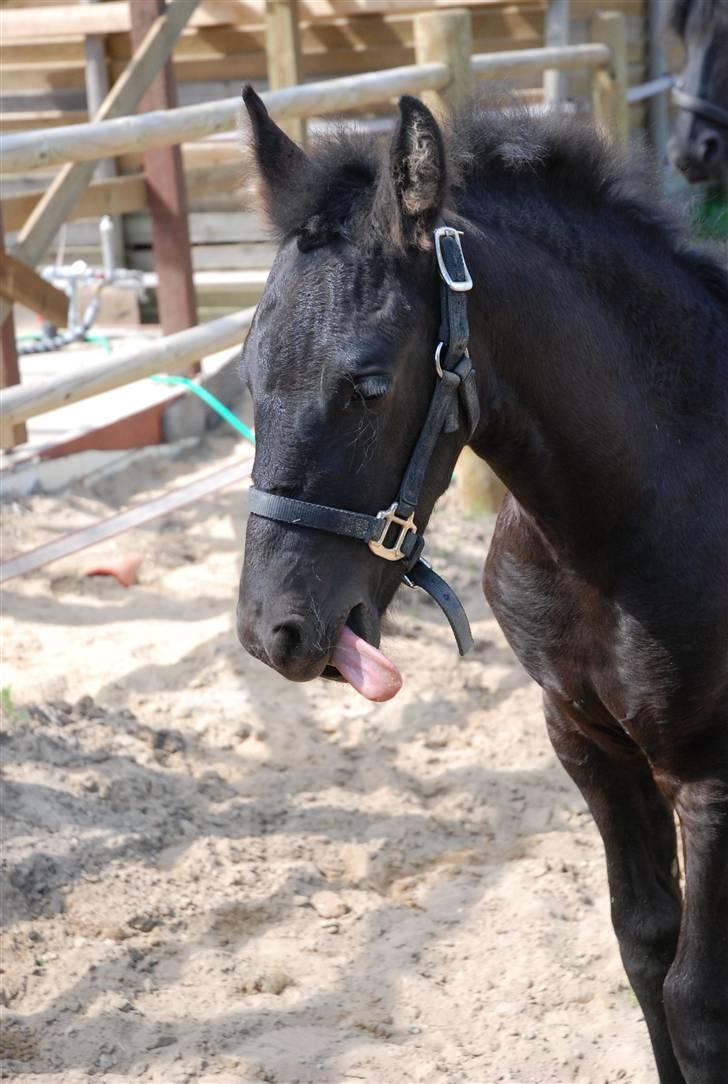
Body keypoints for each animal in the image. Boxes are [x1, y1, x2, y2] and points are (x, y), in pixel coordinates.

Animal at [237, 86, 728, 1084]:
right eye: (250, 370)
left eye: (368, 383)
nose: (273, 630)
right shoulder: (586, 743)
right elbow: (644, 946)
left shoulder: (712, 772)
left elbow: (698, 1002)